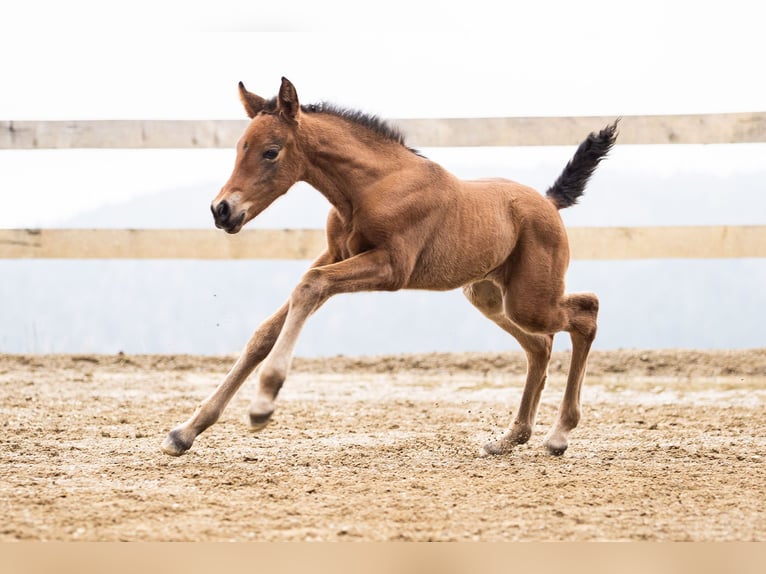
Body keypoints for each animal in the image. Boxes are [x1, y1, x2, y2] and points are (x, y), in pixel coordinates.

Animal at [162, 77, 618, 458]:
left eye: (270, 152)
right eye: (239, 148)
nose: (222, 210)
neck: (371, 187)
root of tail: (549, 202)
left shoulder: (391, 268)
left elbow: (310, 285)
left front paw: (263, 404)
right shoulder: (337, 254)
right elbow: (266, 331)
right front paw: (185, 432)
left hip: (529, 300)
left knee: (586, 312)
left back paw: (558, 434)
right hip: (489, 296)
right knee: (540, 346)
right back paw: (510, 438)